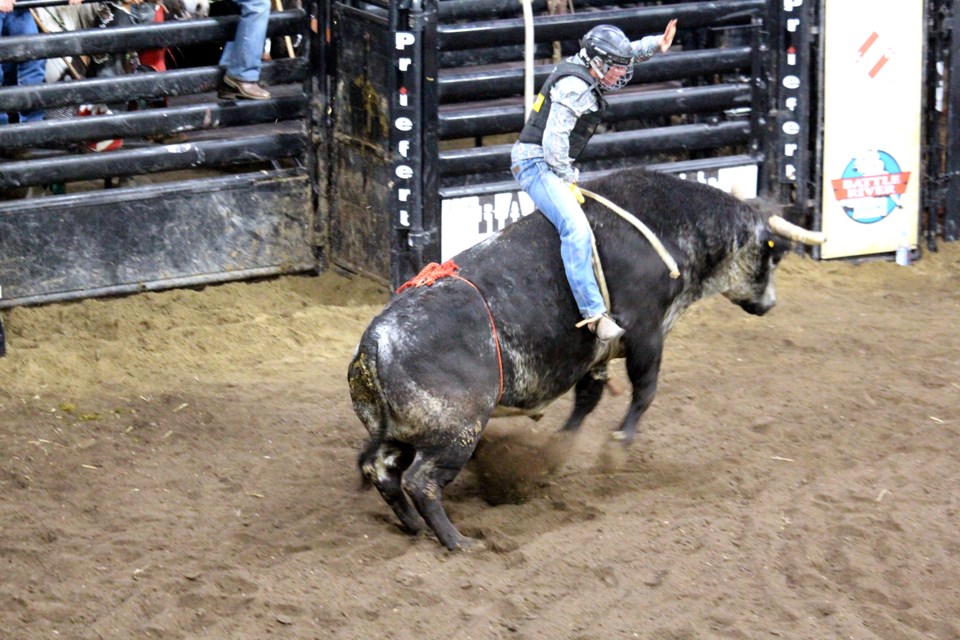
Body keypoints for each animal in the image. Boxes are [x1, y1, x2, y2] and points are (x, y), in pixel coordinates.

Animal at [348, 166, 820, 552]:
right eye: (775, 254)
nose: (770, 305)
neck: (669, 228)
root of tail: (374, 344)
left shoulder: (598, 353)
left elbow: (587, 401)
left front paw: (554, 451)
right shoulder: (645, 331)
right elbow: (645, 390)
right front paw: (617, 447)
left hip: (402, 433)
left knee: (381, 471)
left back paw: (413, 527)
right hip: (456, 432)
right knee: (421, 483)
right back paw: (458, 541)